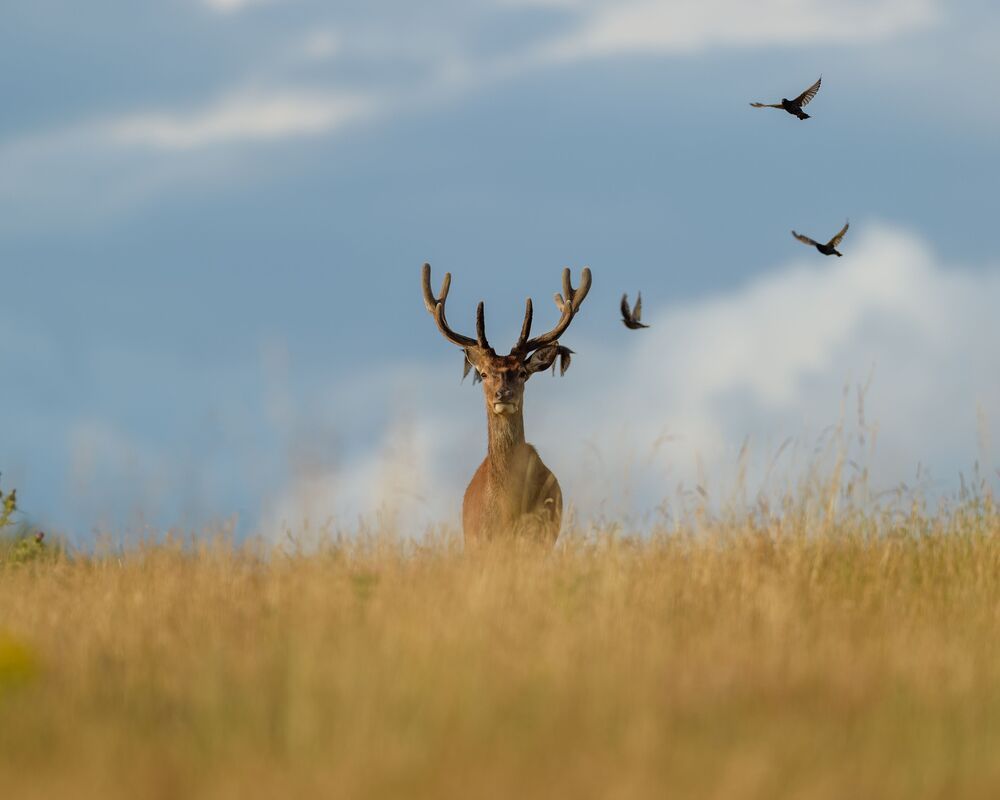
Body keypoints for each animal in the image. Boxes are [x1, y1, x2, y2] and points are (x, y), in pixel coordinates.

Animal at [421, 263, 592, 548]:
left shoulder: (540, 536)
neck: (507, 509)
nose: (503, 394)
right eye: (484, 374)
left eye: (522, 373)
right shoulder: (479, 540)